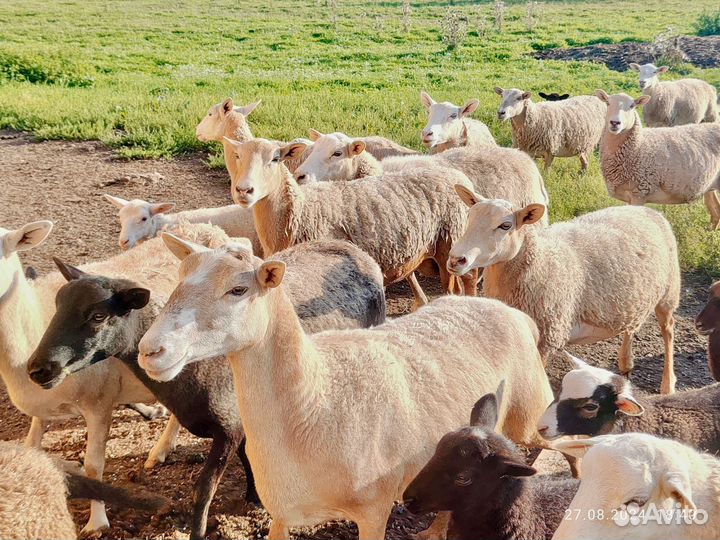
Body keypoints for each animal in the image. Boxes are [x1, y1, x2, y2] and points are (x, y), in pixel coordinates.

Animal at [26, 230, 385, 540]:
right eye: (57, 307)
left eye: (98, 316)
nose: (38, 368)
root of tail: (346, 246)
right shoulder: (241, 425)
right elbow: (247, 459)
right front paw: (253, 496)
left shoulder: (228, 430)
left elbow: (203, 490)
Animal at [136, 233, 556, 540]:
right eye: (178, 280)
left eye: (238, 290)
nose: (150, 349)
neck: (313, 399)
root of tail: (507, 310)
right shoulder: (282, 513)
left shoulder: (373, 512)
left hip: (531, 415)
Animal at [223, 137, 478, 309]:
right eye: (238, 157)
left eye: (276, 159)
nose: (244, 190)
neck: (302, 211)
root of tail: (457, 177)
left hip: (452, 243)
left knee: (467, 283)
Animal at [446, 194, 680, 394]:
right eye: (469, 217)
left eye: (505, 225)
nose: (456, 260)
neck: (540, 258)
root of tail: (645, 210)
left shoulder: (547, 336)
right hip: (633, 298)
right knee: (631, 327)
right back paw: (626, 363)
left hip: (669, 291)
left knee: (668, 330)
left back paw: (668, 384)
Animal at [596, 90, 720, 229]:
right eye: (607, 103)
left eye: (632, 106)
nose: (615, 123)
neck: (639, 145)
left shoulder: (640, 192)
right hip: (710, 185)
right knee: (716, 209)